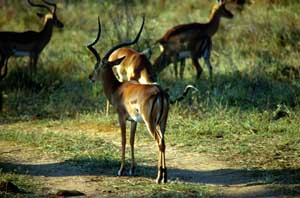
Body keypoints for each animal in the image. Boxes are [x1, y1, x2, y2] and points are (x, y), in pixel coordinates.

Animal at [88, 17, 170, 184]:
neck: (117, 89)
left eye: (97, 66)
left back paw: (158, 178)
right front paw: (132, 169)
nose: (90, 77)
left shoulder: (122, 118)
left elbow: (123, 140)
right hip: (162, 123)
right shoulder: (133, 121)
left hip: (150, 123)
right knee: (164, 142)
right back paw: (164, 177)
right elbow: (132, 141)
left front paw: (121, 170)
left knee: (159, 142)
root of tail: (160, 92)